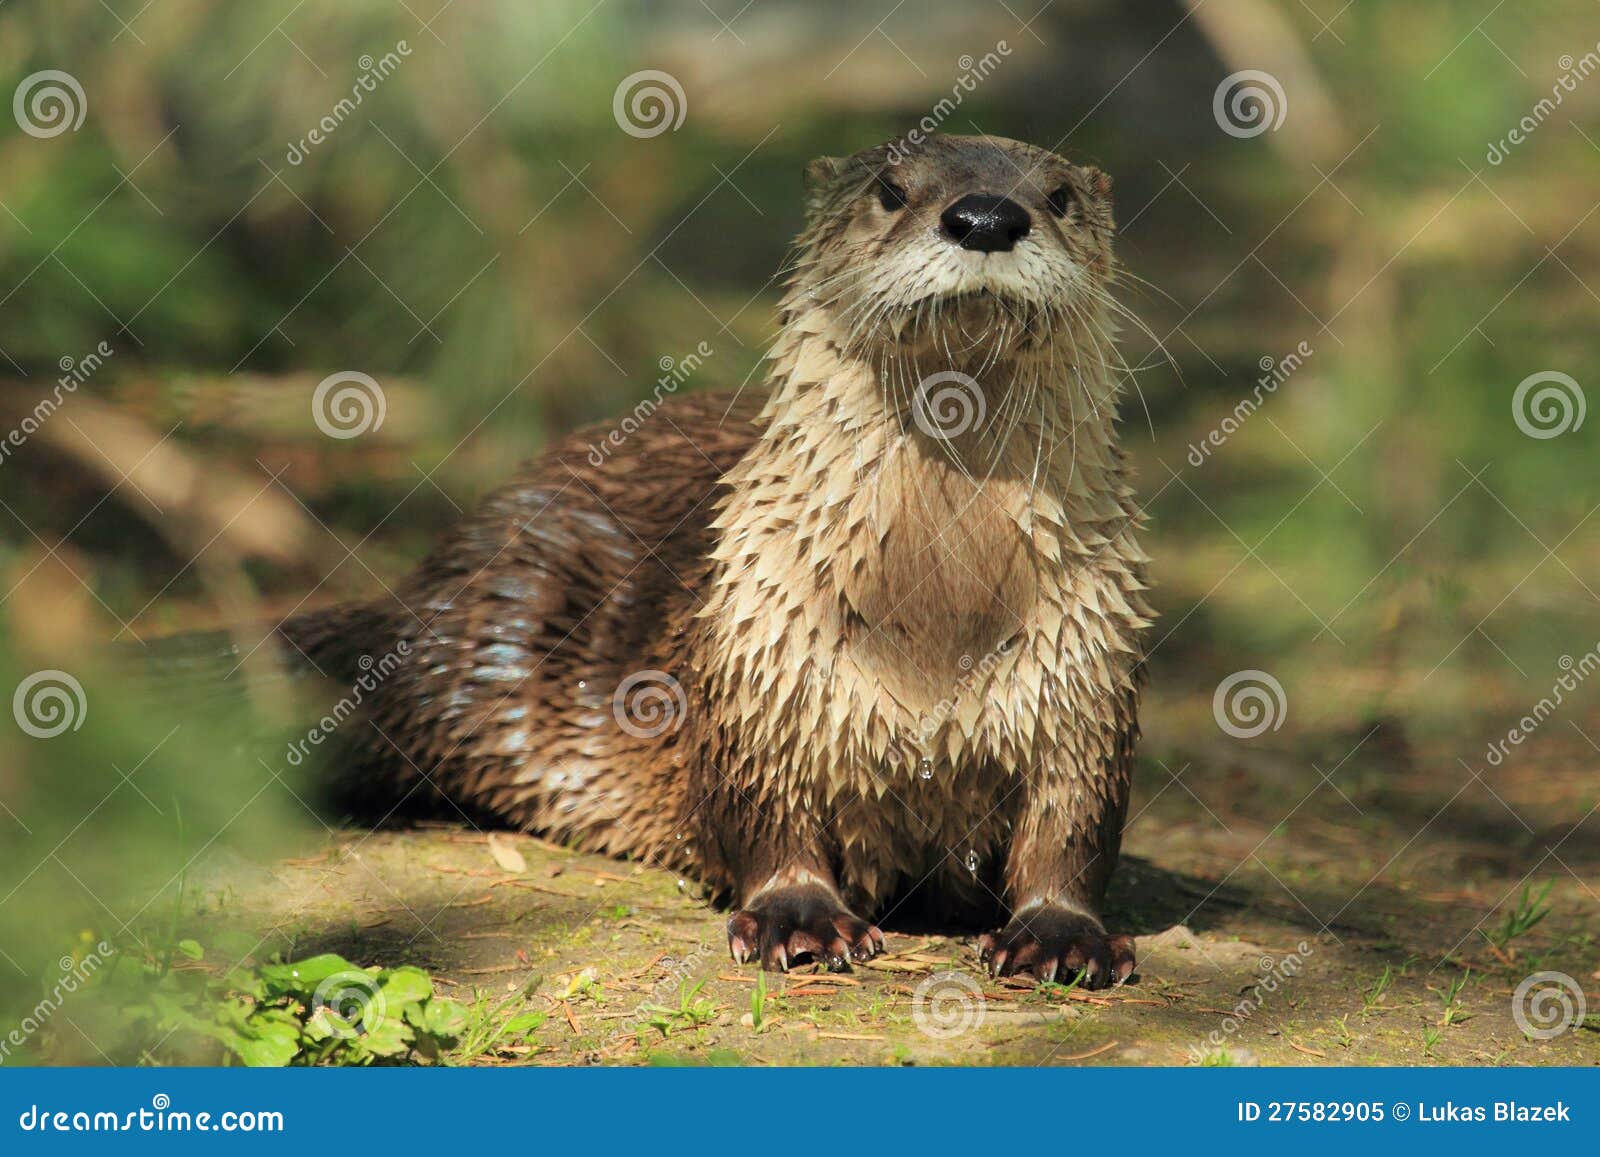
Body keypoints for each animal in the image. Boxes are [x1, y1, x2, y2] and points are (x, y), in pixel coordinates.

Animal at [278, 136, 1152, 985]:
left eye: (1059, 197)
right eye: (892, 190)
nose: (986, 217)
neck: (934, 623)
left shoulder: (1088, 663)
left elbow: (1074, 826)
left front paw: (1060, 933)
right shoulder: (756, 644)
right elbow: (761, 809)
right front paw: (798, 918)